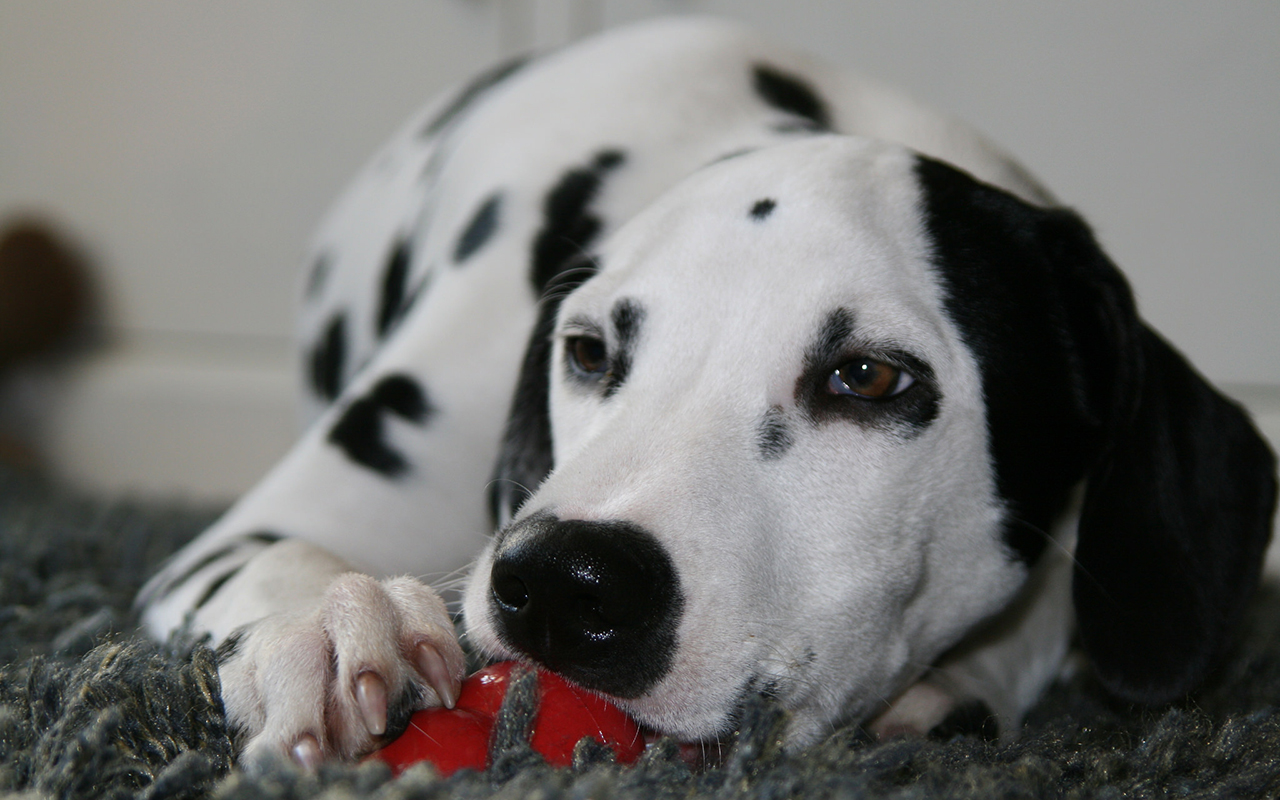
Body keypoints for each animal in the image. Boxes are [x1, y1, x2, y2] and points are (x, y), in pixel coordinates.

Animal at [135, 15, 1274, 762]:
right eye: (588, 351)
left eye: (867, 375)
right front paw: (334, 625)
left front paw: (959, 685)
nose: (563, 579)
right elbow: (284, 561)